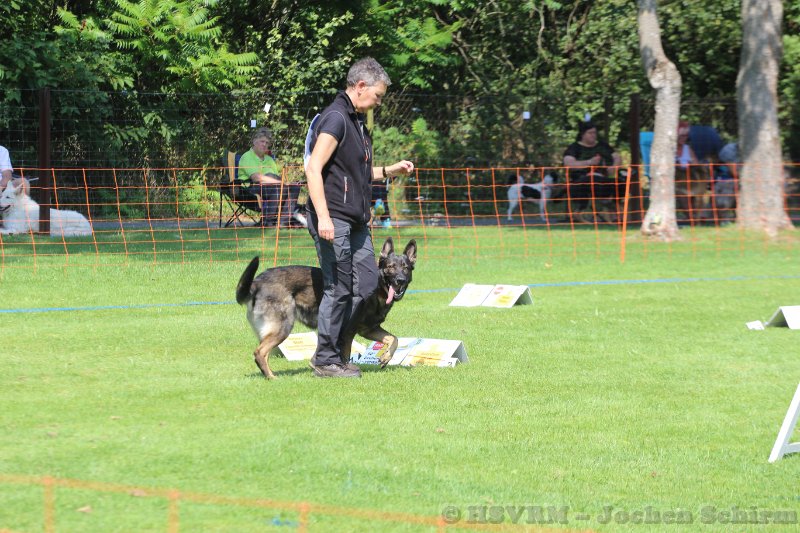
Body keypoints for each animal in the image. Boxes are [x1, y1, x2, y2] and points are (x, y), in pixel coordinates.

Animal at [236, 237, 417, 379]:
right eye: (390, 267)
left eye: (405, 268)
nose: (400, 280)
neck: (378, 288)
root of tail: (257, 282)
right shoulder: (349, 331)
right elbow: (345, 353)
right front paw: (341, 369)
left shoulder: (368, 329)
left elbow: (394, 339)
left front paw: (386, 357)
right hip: (283, 327)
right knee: (260, 353)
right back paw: (272, 377)